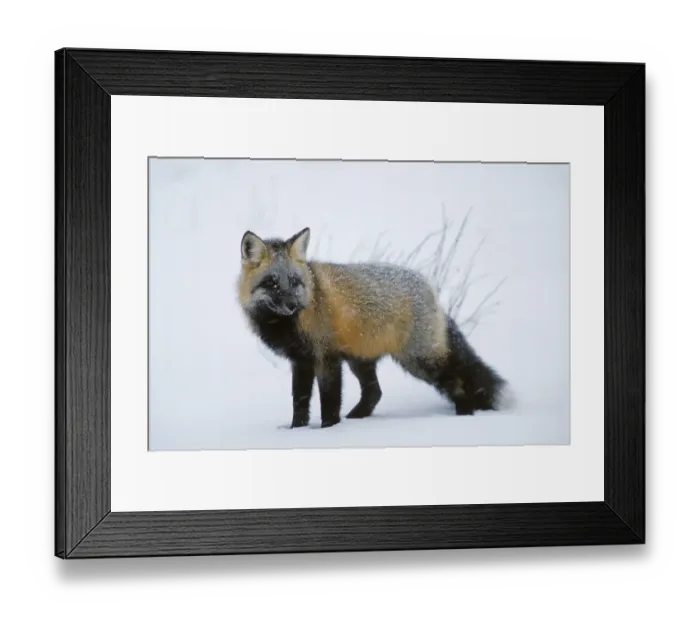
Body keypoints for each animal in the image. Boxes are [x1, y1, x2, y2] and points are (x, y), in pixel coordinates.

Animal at [237, 227, 513, 429]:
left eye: (294, 282)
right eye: (272, 283)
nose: (293, 305)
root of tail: (428, 286)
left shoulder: (326, 358)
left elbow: (329, 399)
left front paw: (329, 429)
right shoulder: (301, 361)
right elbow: (300, 402)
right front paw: (297, 430)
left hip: (420, 361)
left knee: (457, 382)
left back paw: (465, 415)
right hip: (361, 360)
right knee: (374, 393)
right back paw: (357, 417)